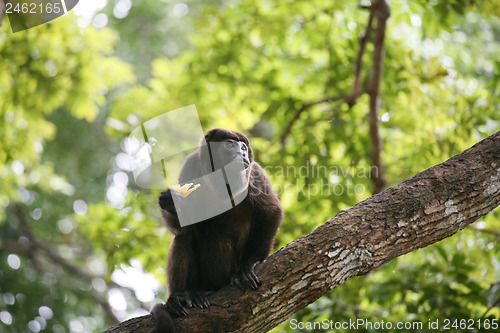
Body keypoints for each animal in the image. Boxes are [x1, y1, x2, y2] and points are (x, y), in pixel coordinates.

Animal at [150, 127, 284, 332]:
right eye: (229, 145)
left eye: (243, 147)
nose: (242, 153)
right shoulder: (191, 165)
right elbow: (181, 226)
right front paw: (172, 201)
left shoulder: (255, 174)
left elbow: (271, 212)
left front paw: (248, 266)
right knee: (185, 236)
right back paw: (182, 297)